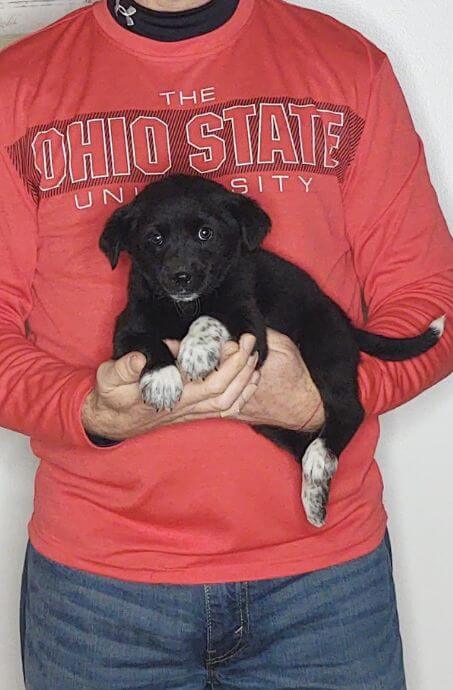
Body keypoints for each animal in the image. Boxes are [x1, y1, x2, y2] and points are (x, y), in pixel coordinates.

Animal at [100, 175, 444, 524]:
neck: (183, 307)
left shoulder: (253, 331)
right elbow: (149, 343)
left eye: (205, 233)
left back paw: (320, 457)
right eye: (154, 238)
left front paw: (195, 352)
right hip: (269, 421)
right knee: (300, 443)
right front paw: (162, 379)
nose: (181, 277)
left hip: (324, 352)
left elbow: (211, 317)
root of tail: (346, 322)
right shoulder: (127, 328)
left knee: (348, 410)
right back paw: (314, 493)